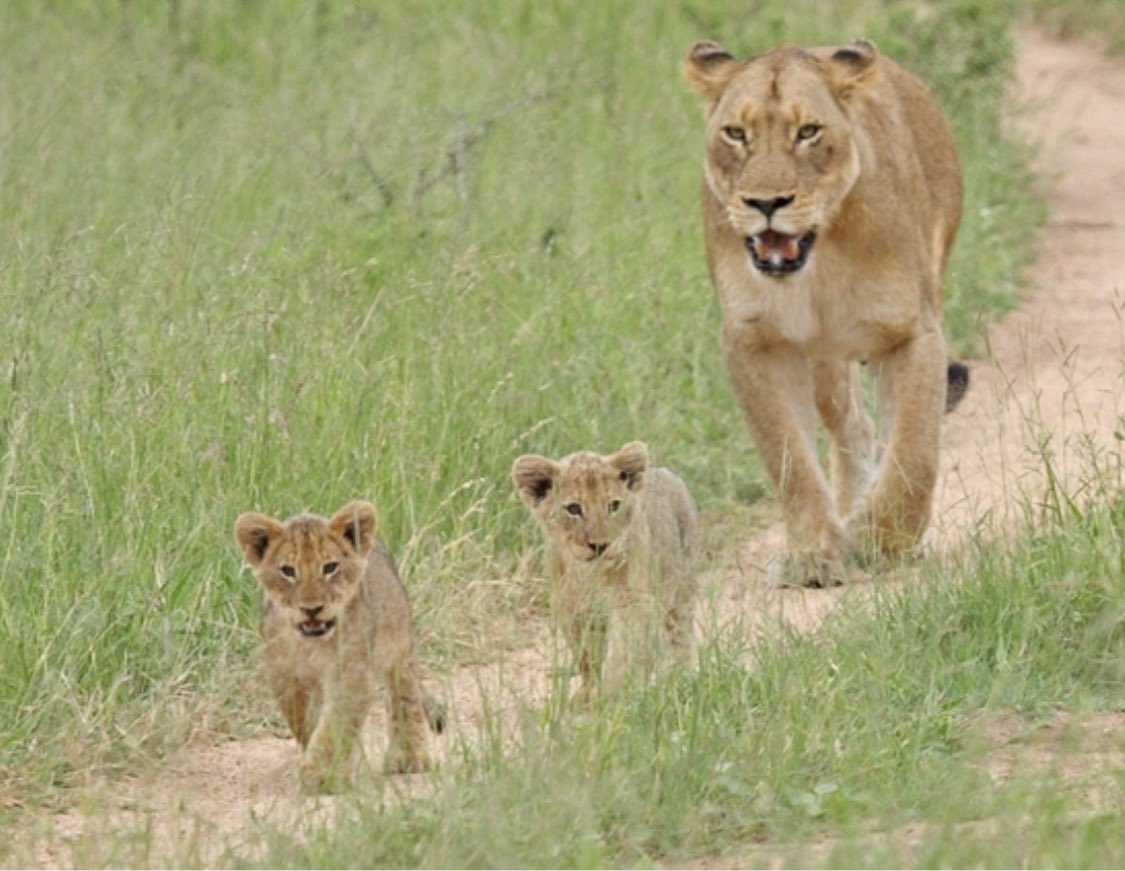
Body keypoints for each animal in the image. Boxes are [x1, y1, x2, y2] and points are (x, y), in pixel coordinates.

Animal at [234, 500, 443, 793]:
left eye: (330, 567)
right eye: (288, 571)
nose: (312, 609)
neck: (312, 644)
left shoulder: (351, 674)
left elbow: (335, 725)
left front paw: (322, 776)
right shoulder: (285, 676)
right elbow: (307, 723)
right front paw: (319, 762)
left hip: (400, 648)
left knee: (404, 698)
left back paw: (409, 757)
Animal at [512, 441, 700, 697]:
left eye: (613, 505)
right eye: (573, 509)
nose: (600, 545)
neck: (590, 575)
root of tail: (665, 472)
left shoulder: (632, 602)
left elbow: (623, 651)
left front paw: (616, 691)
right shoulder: (571, 609)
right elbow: (587, 656)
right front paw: (590, 692)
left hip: (681, 592)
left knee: (681, 637)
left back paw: (681, 679)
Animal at [683, 39, 966, 586]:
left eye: (808, 132)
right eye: (736, 134)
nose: (766, 203)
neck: (818, 263)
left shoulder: (912, 333)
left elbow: (914, 450)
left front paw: (885, 541)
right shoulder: (755, 342)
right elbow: (787, 457)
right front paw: (815, 555)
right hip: (825, 364)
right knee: (854, 427)